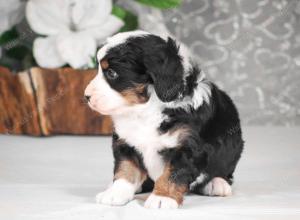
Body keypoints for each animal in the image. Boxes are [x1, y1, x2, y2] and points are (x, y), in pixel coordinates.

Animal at [84, 30, 244, 209]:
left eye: (112, 73)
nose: (86, 96)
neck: (145, 110)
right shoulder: (125, 142)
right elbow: (125, 168)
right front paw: (115, 192)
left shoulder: (188, 146)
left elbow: (173, 173)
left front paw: (162, 197)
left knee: (223, 173)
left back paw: (217, 183)